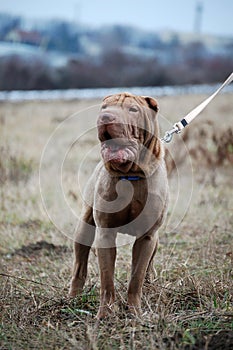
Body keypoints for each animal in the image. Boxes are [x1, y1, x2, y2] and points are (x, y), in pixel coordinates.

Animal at [68, 91, 168, 318]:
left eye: (133, 109)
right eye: (104, 108)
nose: (105, 118)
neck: (131, 174)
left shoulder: (147, 236)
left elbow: (136, 276)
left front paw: (135, 313)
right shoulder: (105, 233)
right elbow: (107, 279)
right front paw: (105, 313)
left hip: (155, 239)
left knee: (148, 266)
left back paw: (150, 282)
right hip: (84, 228)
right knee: (79, 265)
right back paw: (72, 298)